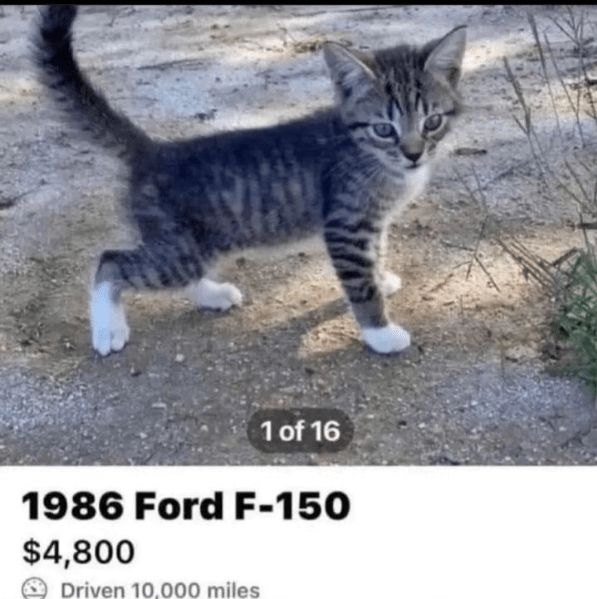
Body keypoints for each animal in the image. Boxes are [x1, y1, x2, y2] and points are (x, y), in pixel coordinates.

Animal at [33, 5, 466, 356]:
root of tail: (153, 151)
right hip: (180, 250)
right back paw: (108, 329)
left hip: (192, 243)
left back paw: (213, 294)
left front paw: (382, 277)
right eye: (383, 128)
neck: (370, 156)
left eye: (432, 121)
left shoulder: (374, 224)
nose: (414, 153)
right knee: (110, 262)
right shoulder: (346, 224)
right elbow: (360, 284)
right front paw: (381, 332)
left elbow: (377, 255)